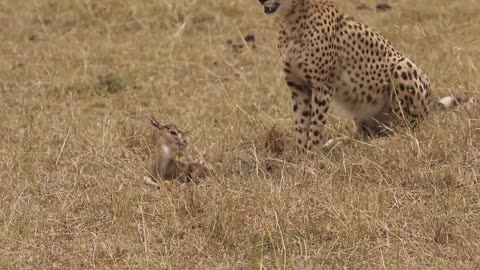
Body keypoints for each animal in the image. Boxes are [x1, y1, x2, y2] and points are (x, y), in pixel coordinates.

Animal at [258, 0, 464, 152]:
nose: (260, 0)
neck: (292, 18)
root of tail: (427, 107)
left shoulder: (322, 85)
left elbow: (315, 125)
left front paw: (311, 158)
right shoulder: (298, 86)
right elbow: (301, 124)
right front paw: (301, 158)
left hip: (401, 66)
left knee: (405, 133)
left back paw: (377, 144)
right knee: (364, 135)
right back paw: (339, 143)